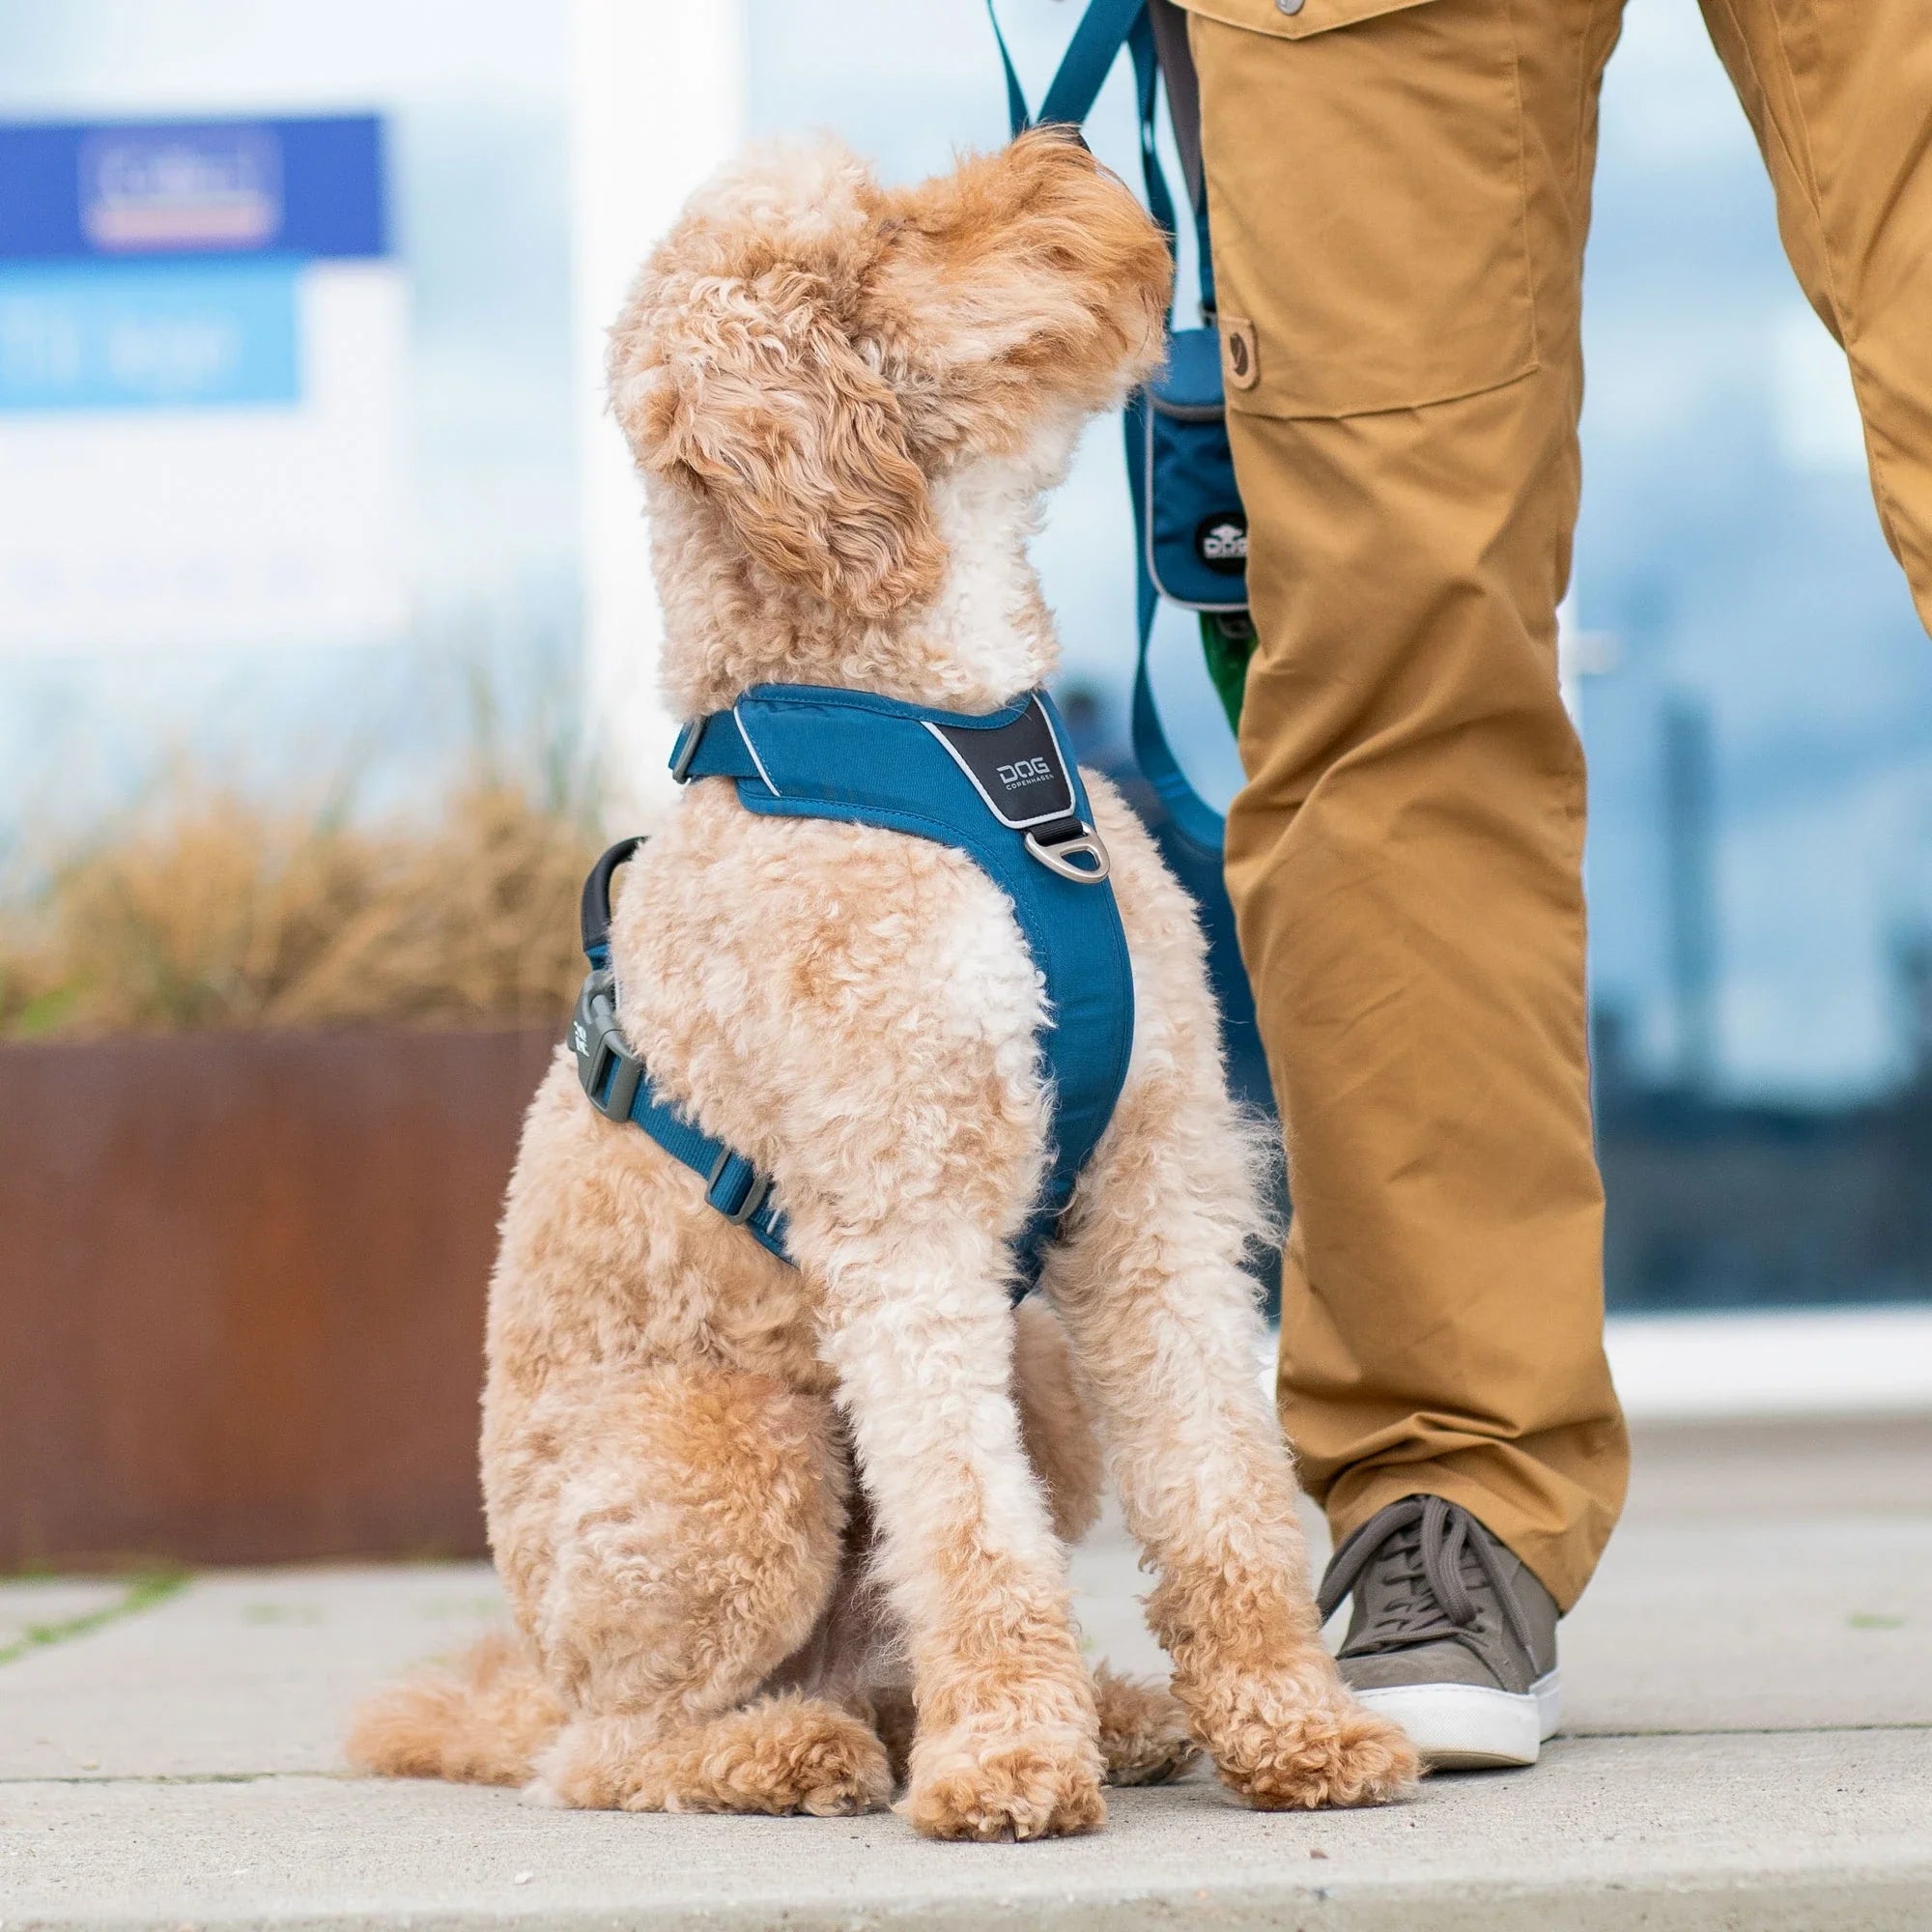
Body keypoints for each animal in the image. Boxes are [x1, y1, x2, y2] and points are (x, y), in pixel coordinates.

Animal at [355, 132, 1422, 1839]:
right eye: (881, 245)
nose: (1071, 146)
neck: (958, 754)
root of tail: (531, 1661)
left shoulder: (1156, 1193)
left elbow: (1223, 1488)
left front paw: (1294, 1727)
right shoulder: (906, 1222)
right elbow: (972, 1533)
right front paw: (1009, 1766)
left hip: (1040, 1379)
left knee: (879, 1644)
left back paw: (1098, 1715)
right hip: (738, 1456)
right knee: (611, 1750)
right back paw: (796, 1753)